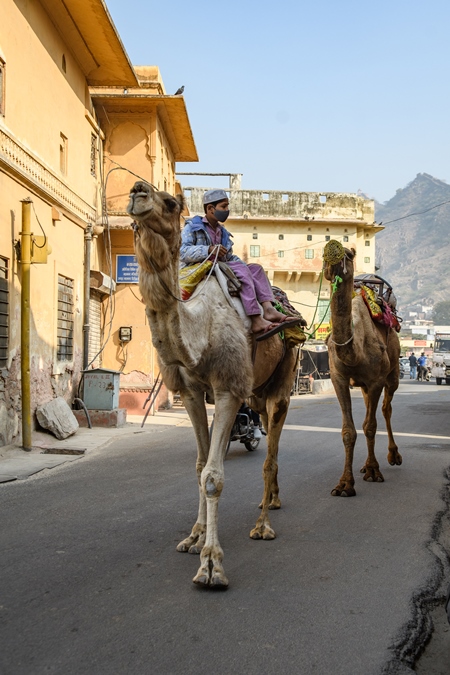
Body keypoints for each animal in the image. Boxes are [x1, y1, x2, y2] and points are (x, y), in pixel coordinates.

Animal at [126, 182, 302, 588]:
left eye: (169, 202)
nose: (138, 191)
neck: (201, 331)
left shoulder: (227, 389)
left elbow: (213, 475)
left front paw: (211, 565)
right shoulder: (191, 392)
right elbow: (199, 464)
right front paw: (194, 537)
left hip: (282, 381)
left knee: (270, 452)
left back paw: (263, 525)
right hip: (256, 391)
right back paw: (271, 500)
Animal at [322, 242, 402, 496]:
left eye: (347, 255)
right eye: (322, 254)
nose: (331, 256)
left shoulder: (376, 380)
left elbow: (370, 427)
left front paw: (374, 471)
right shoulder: (338, 377)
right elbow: (349, 431)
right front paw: (345, 484)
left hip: (392, 374)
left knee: (386, 409)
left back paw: (393, 456)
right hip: (365, 386)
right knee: (371, 406)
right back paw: (365, 466)